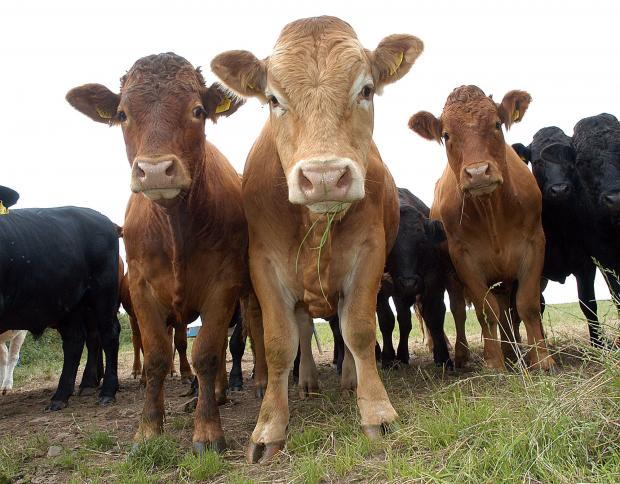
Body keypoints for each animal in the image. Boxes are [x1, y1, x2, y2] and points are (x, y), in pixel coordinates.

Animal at [0, 185, 120, 408]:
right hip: (68, 303)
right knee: (76, 340)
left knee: (108, 333)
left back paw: (107, 390)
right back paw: (61, 395)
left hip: (102, 293)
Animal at [67, 54, 266, 454]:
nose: (156, 170)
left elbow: (206, 353)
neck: (175, 227)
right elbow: (158, 355)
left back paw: (258, 385)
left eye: (198, 111)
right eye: (123, 114)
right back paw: (216, 394)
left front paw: (207, 431)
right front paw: (148, 429)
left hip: (248, 291)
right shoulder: (142, 287)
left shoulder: (223, 284)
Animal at [212, 14, 422, 462]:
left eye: (365, 90)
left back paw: (348, 380)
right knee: (304, 331)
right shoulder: (265, 265)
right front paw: (269, 427)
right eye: (273, 99)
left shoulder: (369, 256)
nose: (324, 176)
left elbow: (358, 330)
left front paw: (376, 412)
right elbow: (278, 344)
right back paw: (307, 381)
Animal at [410, 85, 556, 370]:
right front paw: (493, 362)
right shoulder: (463, 259)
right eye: (446, 135)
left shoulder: (535, 245)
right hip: (453, 276)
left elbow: (527, 305)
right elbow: (485, 310)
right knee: (459, 310)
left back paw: (511, 350)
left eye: (497, 124)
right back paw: (463, 354)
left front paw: (541, 358)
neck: (491, 212)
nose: (477, 173)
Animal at [512, 130, 604, 344]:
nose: (560, 189)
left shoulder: (585, 265)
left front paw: (598, 343)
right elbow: (534, 306)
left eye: (570, 160)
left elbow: (588, 304)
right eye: (537, 161)